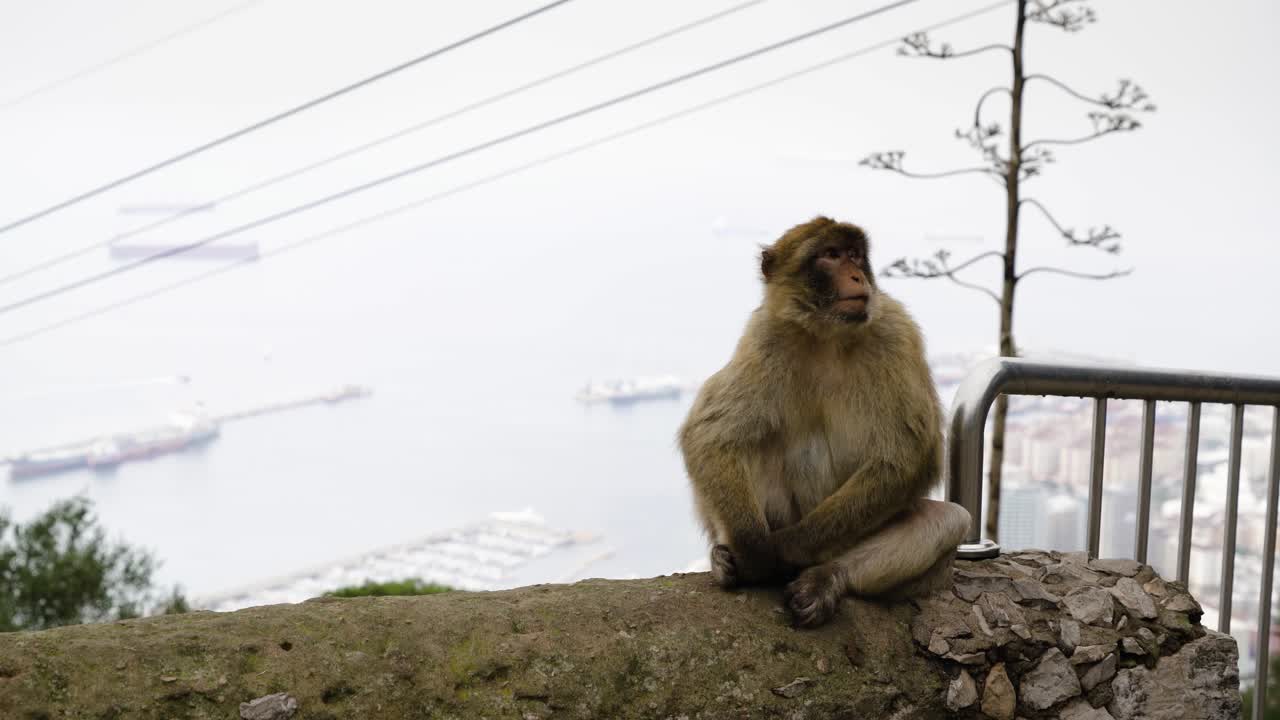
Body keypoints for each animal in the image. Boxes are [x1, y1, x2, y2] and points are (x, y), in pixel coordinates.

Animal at [678, 216, 972, 627]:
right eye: (831, 255)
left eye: (854, 254)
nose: (856, 276)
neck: (827, 335)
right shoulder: (765, 335)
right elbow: (710, 434)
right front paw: (752, 548)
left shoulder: (894, 330)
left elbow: (906, 456)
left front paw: (782, 548)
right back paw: (725, 559)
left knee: (948, 520)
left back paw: (825, 577)